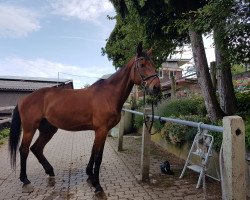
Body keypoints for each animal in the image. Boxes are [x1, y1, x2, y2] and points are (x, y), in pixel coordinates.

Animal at [8, 42, 161, 194]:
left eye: (153, 64)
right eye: (142, 65)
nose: (156, 87)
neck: (108, 95)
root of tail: (23, 99)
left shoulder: (100, 131)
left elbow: (93, 152)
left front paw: (90, 176)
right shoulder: (101, 130)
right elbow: (98, 156)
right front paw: (97, 185)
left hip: (48, 129)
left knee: (36, 148)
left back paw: (50, 172)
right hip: (30, 129)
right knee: (24, 150)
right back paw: (26, 181)